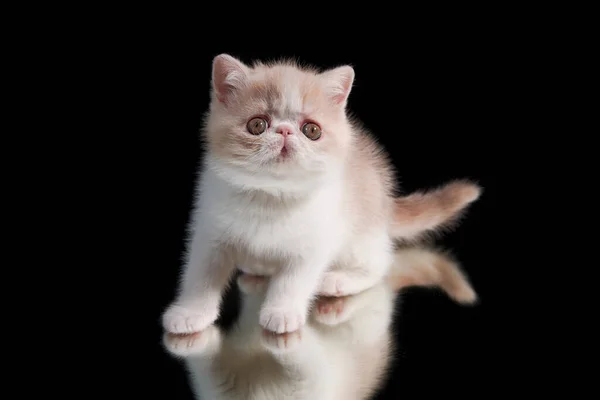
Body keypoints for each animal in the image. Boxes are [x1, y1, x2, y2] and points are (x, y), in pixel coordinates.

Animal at [162, 53, 480, 334]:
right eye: (257, 125)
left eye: (311, 130)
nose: (286, 131)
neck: (272, 194)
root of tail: (386, 206)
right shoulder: (210, 230)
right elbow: (201, 275)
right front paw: (190, 314)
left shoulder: (316, 239)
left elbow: (294, 279)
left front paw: (282, 312)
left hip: (362, 237)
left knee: (381, 263)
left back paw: (338, 280)